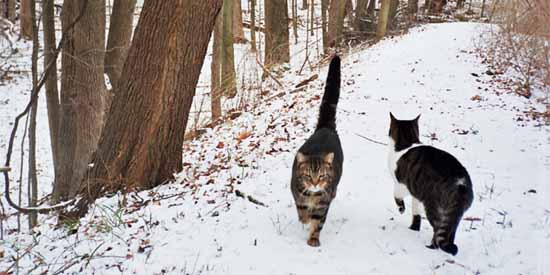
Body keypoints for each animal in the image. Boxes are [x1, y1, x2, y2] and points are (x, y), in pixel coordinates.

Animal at [292, 55, 342, 248]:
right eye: (308, 175)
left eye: (321, 176)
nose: (314, 184)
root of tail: (326, 127)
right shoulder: (297, 194)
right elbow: (302, 210)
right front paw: (304, 219)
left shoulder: (322, 205)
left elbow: (318, 223)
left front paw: (313, 238)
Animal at [388, 113, 474, 256]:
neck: (406, 142)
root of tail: (460, 183)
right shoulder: (415, 192)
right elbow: (416, 213)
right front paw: (413, 228)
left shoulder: (400, 183)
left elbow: (397, 196)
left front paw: (401, 208)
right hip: (454, 216)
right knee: (448, 233)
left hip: (433, 206)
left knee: (437, 230)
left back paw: (431, 247)